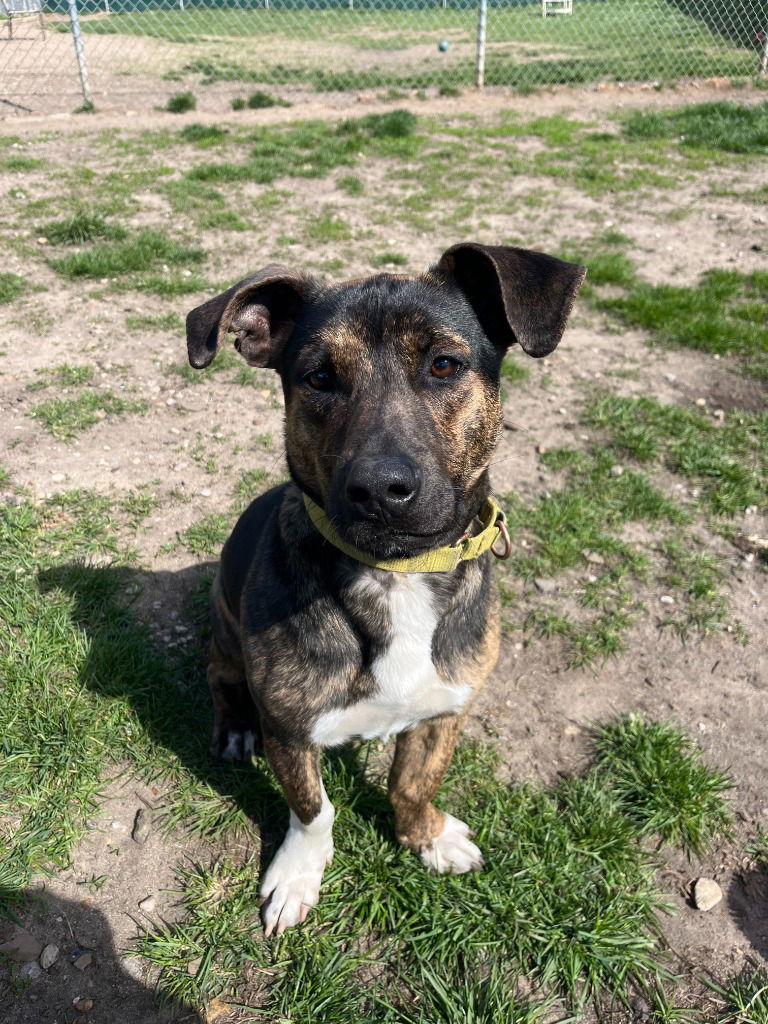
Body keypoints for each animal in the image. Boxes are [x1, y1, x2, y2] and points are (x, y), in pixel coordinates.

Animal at [185, 241, 581, 937]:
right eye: (319, 377)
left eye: (444, 364)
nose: (378, 489)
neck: (395, 576)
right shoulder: (289, 729)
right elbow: (313, 810)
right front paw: (298, 874)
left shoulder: (445, 710)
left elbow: (411, 784)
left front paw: (426, 836)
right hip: (226, 639)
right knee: (221, 680)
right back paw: (233, 729)